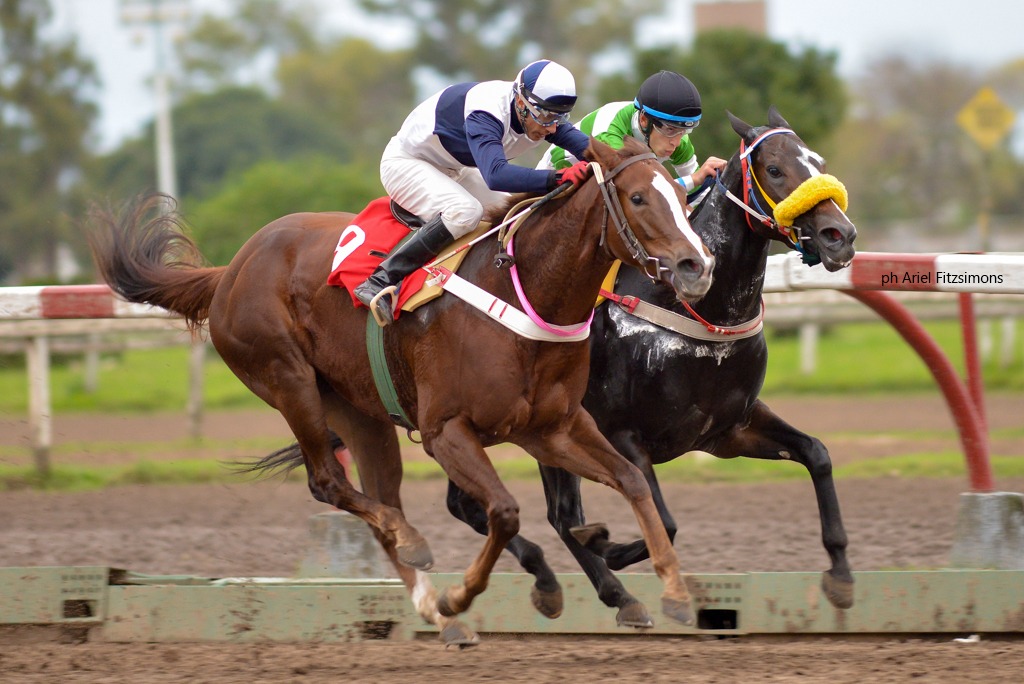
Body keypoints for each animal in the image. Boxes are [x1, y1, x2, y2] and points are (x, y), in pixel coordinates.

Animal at [85, 136, 715, 646]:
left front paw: (672, 595)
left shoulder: (552, 428)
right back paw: (421, 559)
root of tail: (229, 271)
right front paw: (471, 594)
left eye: (682, 198)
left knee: (378, 498)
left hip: (359, 412)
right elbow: (505, 511)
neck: (522, 288)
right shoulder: (447, 431)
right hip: (288, 379)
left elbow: (632, 480)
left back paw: (437, 610)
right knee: (330, 482)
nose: (696, 265)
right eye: (638, 198)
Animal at [445, 106, 858, 628]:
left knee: (491, 506)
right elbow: (662, 520)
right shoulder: (623, 433)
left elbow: (817, 454)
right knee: (549, 514)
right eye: (775, 169)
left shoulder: (729, 429)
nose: (840, 236)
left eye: (817, 161)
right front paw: (610, 546)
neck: (695, 312)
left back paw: (595, 590)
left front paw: (840, 574)